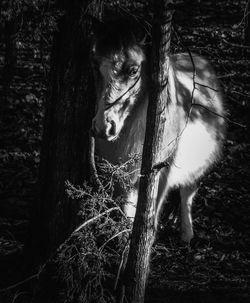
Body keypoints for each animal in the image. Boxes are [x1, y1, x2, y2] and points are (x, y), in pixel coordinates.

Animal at [90, 18, 227, 242]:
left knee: (187, 193)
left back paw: (186, 235)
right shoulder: (122, 174)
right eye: (95, 65)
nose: (104, 127)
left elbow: (150, 217)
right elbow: (126, 210)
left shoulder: (161, 174)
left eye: (133, 70)